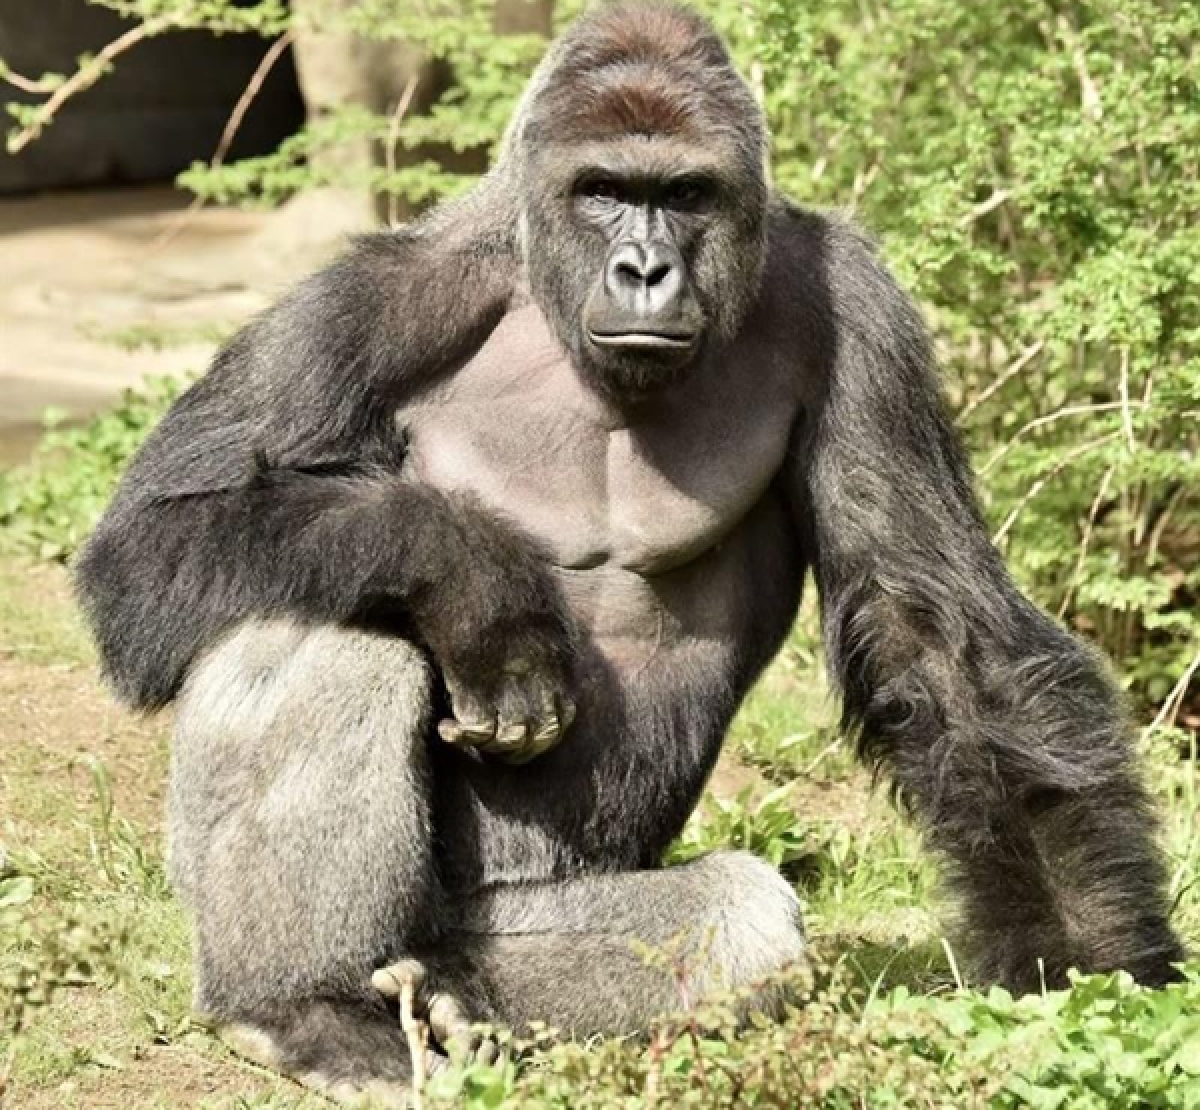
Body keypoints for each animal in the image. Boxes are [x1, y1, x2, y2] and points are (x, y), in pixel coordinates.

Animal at [74, 3, 1184, 1103]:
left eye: (683, 194)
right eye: (604, 191)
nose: (645, 270)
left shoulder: (862, 316)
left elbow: (938, 635)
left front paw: (1088, 965)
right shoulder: (370, 300)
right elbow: (150, 538)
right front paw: (476, 580)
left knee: (733, 919)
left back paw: (450, 997)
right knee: (320, 618)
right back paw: (303, 1005)